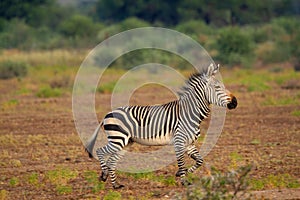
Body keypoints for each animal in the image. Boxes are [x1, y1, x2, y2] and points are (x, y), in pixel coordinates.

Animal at [84, 63, 237, 188]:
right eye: (217, 87)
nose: (235, 102)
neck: (189, 113)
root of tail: (107, 114)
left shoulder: (189, 144)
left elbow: (199, 160)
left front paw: (183, 173)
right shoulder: (179, 142)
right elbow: (181, 163)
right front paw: (184, 181)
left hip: (125, 143)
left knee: (112, 161)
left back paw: (115, 185)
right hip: (118, 139)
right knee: (100, 151)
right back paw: (104, 175)